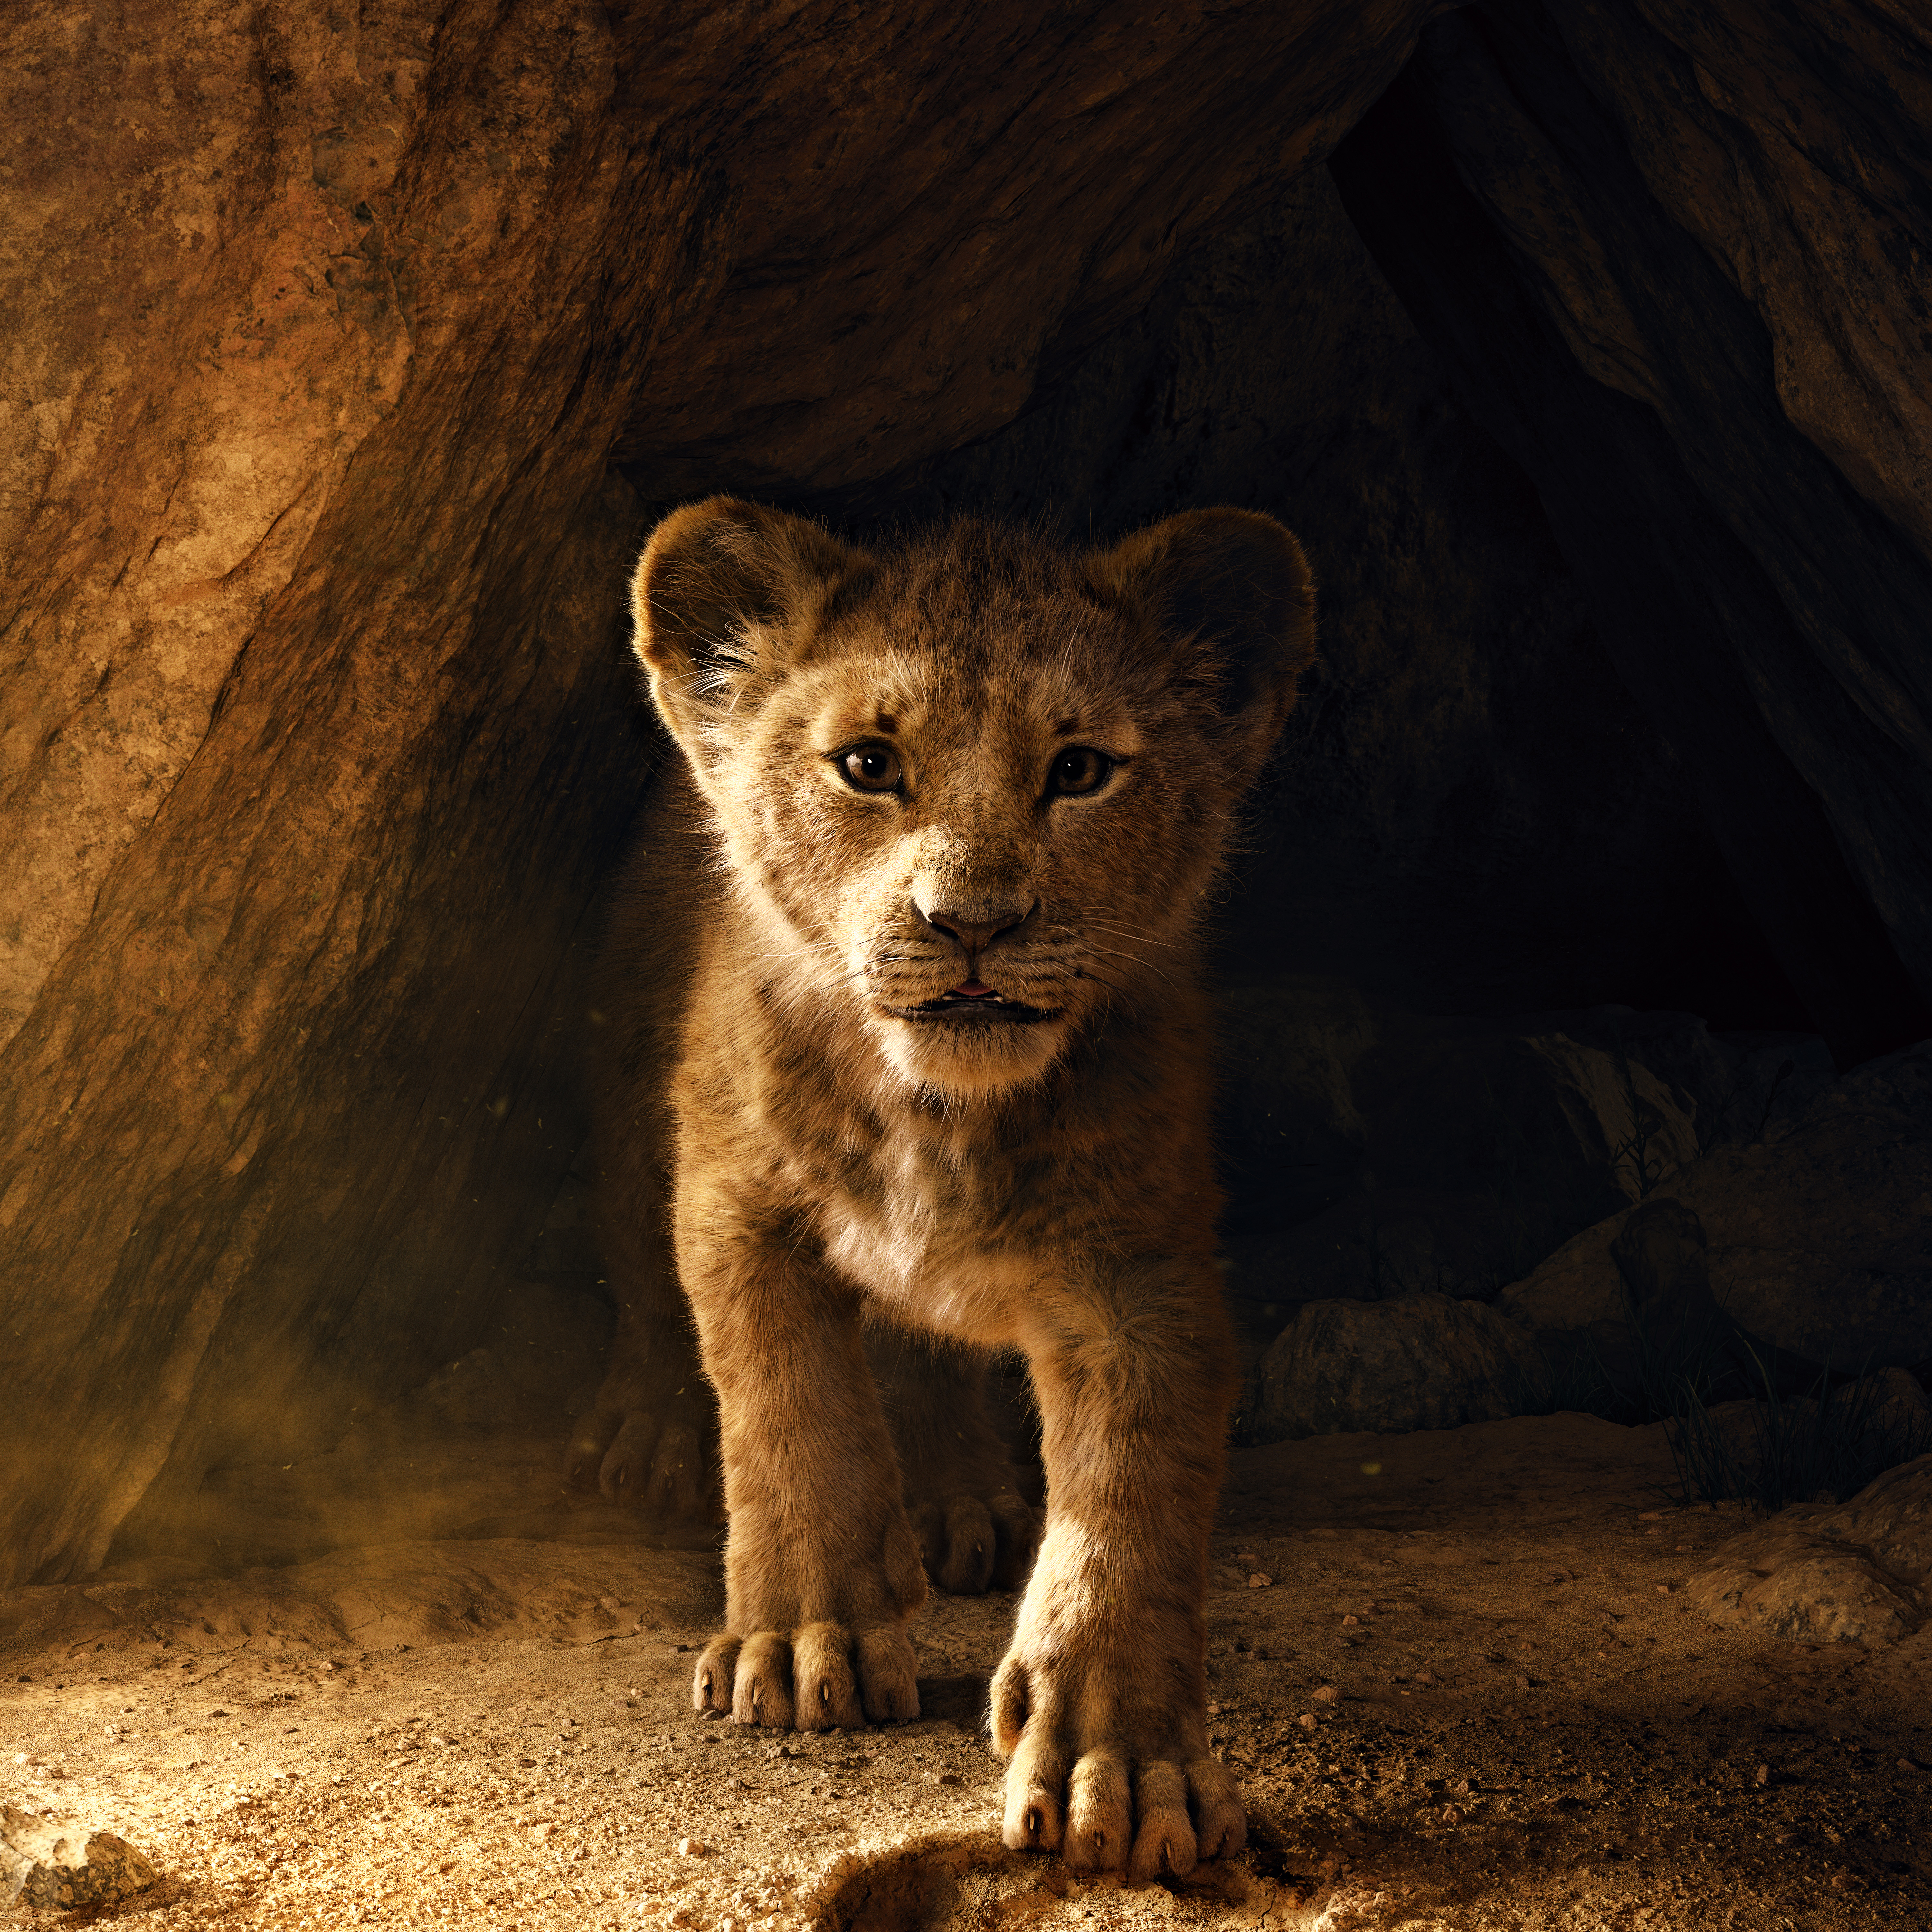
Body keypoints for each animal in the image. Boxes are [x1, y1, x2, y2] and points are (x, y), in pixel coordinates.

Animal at [565, 499, 1316, 1878]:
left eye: (1080, 770)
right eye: (867, 764)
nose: (970, 921)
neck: (939, 1112)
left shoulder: (1142, 1270)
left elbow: (1129, 1504)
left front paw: (1118, 1762)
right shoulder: (736, 1200)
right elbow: (788, 1412)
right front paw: (802, 1643)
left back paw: (960, 1498)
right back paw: (643, 1433)